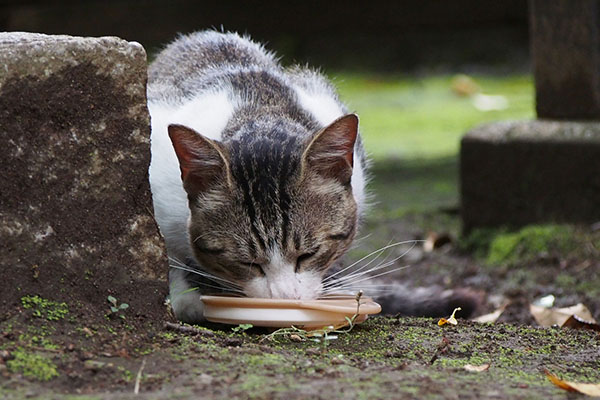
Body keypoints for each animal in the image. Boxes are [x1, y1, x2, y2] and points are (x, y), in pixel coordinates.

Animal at [146, 32, 478, 324]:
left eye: (309, 254)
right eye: (247, 262)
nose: (285, 299)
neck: (259, 113)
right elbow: (168, 259)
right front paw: (187, 299)